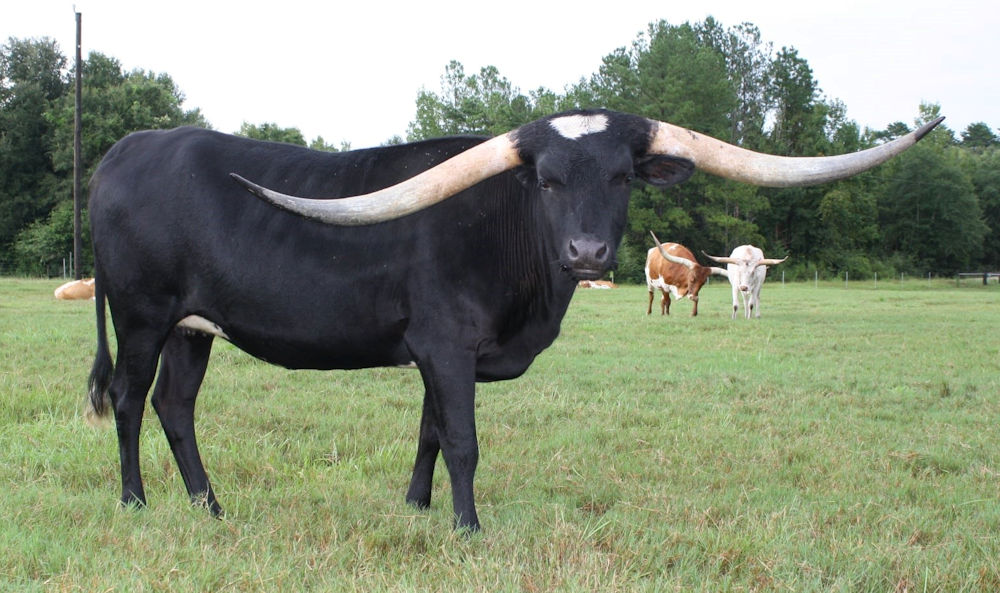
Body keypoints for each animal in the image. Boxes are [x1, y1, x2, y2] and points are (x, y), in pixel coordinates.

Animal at [86, 108, 941, 531]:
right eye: (549, 179)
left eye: (623, 175)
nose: (589, 251)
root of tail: (126, 149)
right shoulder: (445, 344)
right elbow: (462, 439)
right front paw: (467, 529)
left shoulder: (438, 353)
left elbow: (430, 433)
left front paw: (417, 509)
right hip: (142, 314)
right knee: (129, 400)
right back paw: (134, 503)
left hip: (193, 327)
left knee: (175, 406)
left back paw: (211, 508)